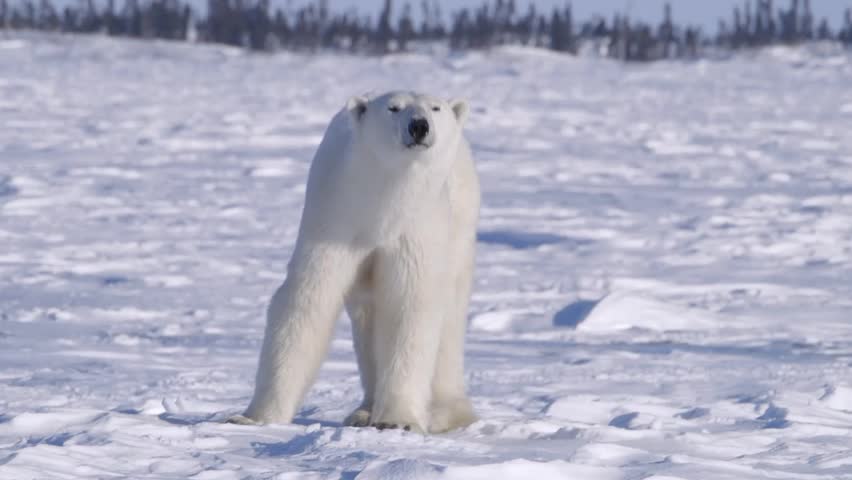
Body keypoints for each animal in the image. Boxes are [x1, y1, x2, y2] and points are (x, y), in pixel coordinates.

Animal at [233, 91, 480, 436]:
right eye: (393, 108)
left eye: (435, 108)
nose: (419, 126)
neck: (383, 209)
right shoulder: (336, 219)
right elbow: (308, 301)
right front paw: (254, 418)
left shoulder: (417, 228)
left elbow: (409, 308)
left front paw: (398, 420)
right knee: (367, 317)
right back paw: (363, 412)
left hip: (460, 228)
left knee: (449, 318)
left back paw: (446, 413)